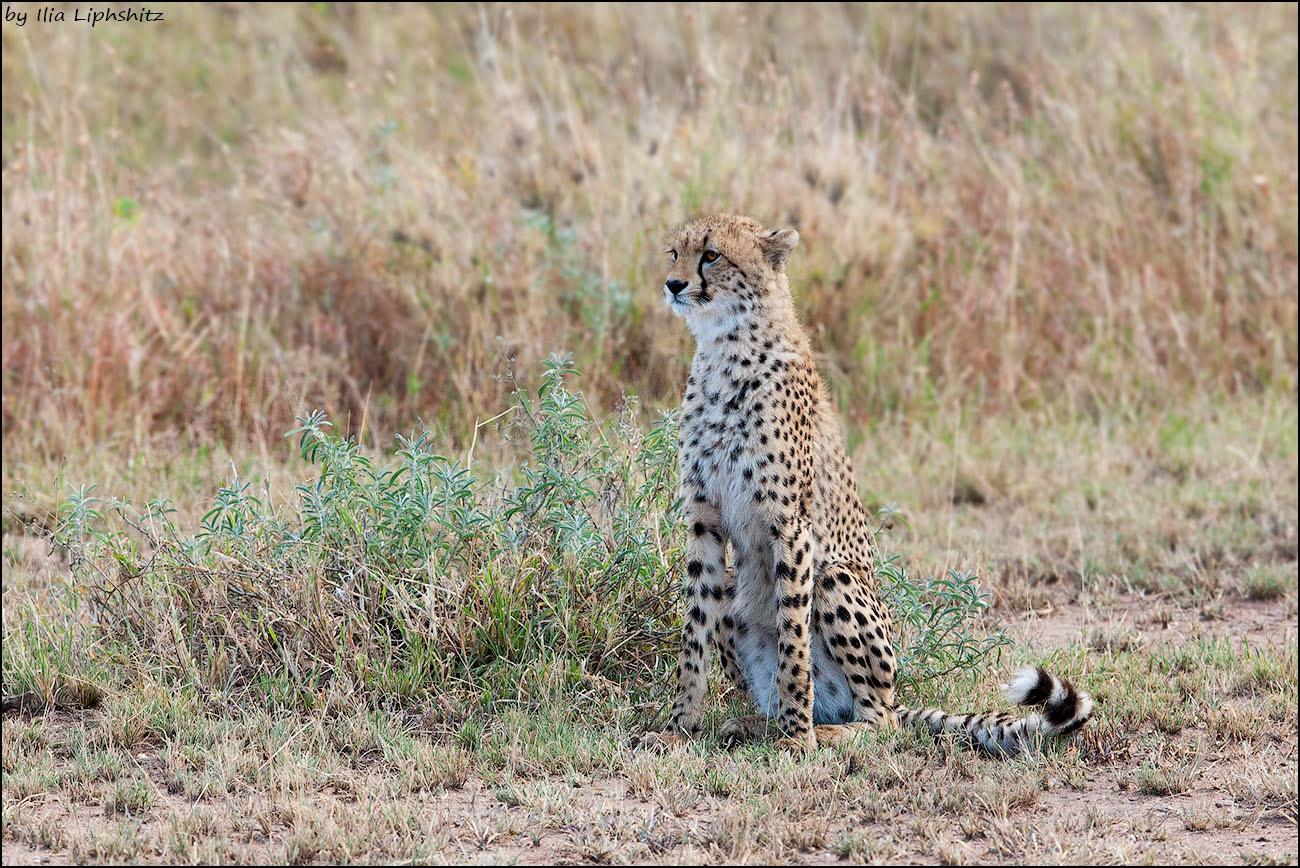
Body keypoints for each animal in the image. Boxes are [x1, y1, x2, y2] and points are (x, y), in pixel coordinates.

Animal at [650, 215, 1086, 753]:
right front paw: (677, 728)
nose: (673, 284)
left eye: (711, 255)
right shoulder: (704, 519)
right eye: (674, 253)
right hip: (741, 585)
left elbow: (792, 640)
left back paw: (824, 730)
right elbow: (694, 633)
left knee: (881, 721)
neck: (724, 349)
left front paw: (798, 740)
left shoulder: (790, 526)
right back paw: (756, 724)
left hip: (837, 579)